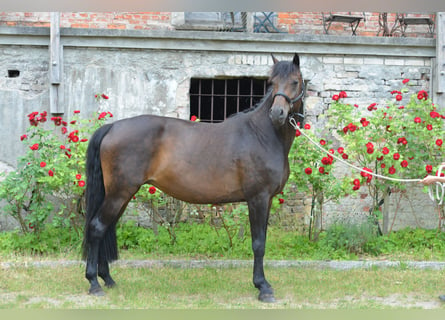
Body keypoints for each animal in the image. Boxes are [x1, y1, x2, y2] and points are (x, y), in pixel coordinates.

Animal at [82, 53, 306, 302]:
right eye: (271, 83)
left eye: (295, 81)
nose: (277, 114)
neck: (262, 135)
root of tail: (112, 127)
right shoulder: (258, 198)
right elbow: (258, 243)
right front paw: (263, 287)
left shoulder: (266, 200)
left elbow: (262, 240)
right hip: (119, 193)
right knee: (97, 228)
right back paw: (94, 283)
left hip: (120, 195)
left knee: (106, 229)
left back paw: (107, 279)